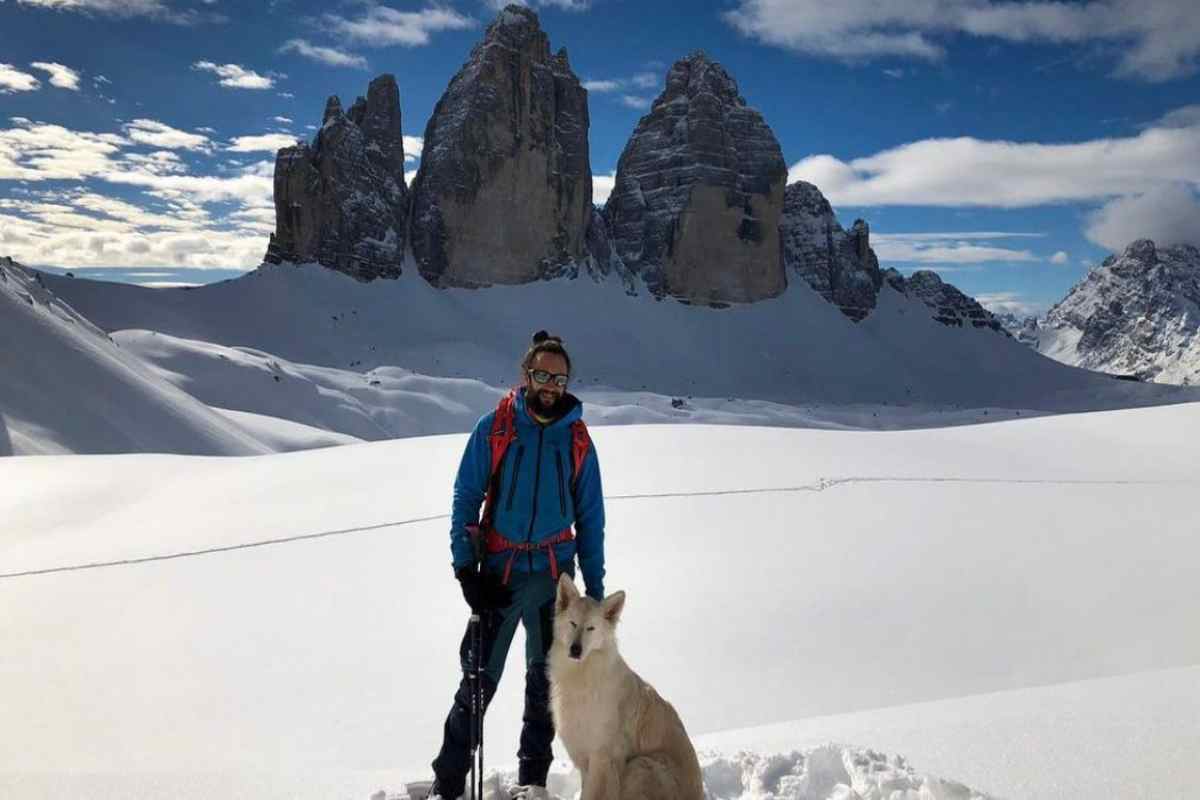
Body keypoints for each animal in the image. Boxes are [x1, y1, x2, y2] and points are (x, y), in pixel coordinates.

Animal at [547, 575, 700, 800]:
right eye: (573, 623)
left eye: (591, 628)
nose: (575, 649)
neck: (583, 674)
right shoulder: (586, 757)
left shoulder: (603, 757)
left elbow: (595, 794)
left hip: (641, 765)